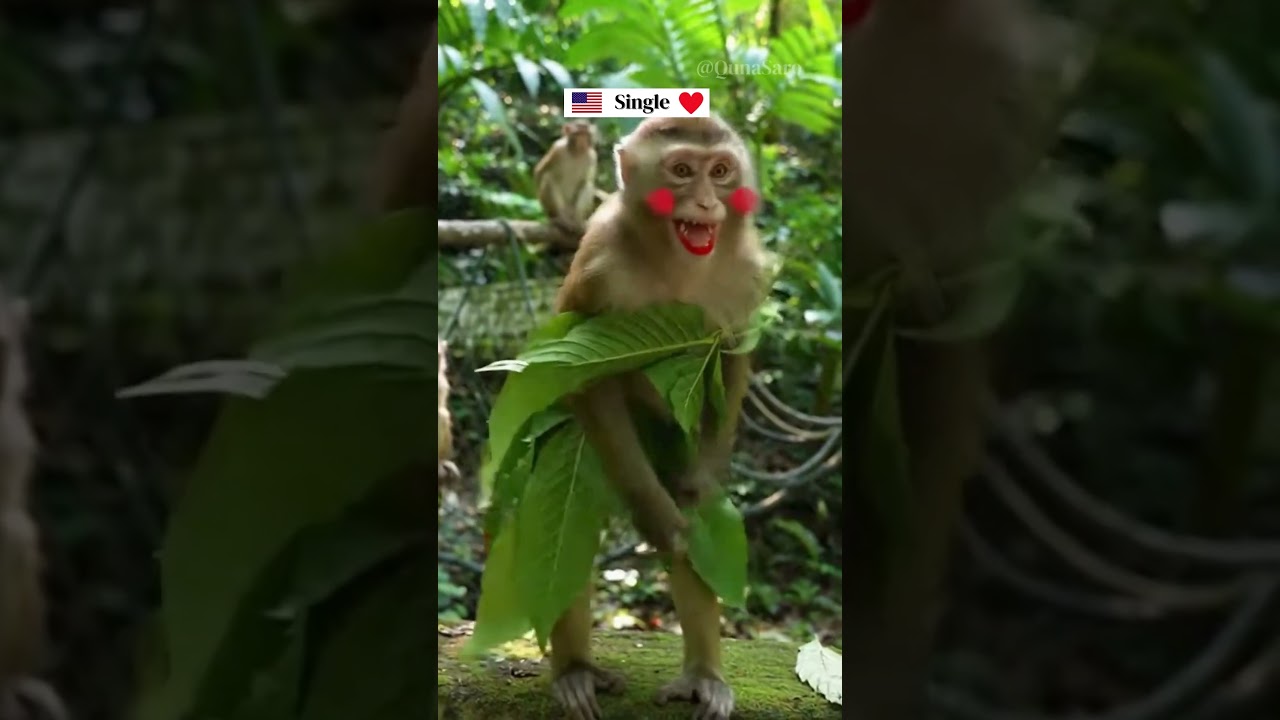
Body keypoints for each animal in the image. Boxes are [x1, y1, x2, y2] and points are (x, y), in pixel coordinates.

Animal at [547, 115, 770, 720]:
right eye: (682, 170)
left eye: (722, 171)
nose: (706, 201)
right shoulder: (598, 265)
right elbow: (583, 374)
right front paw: (656, 515)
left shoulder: (749, 274)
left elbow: (734, 357)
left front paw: (698, 484)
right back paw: (575, 671)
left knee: (697, 545)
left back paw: (703, 675)